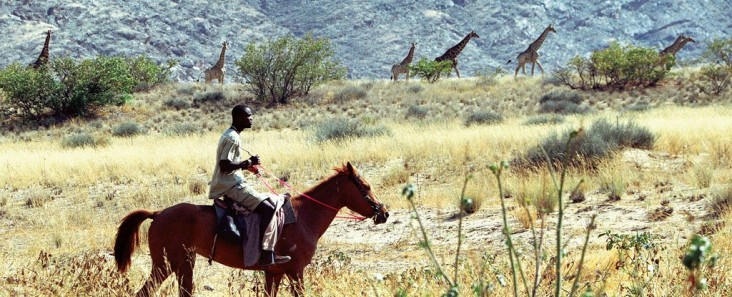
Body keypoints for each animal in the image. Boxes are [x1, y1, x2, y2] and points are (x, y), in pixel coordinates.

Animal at [114, 162, 388, 296]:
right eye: (365, 186)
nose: (384, 212)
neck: (303, 217)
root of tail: (158, 213)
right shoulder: (296, 271)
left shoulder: (274, 273)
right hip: (169, 265)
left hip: (180, 264)